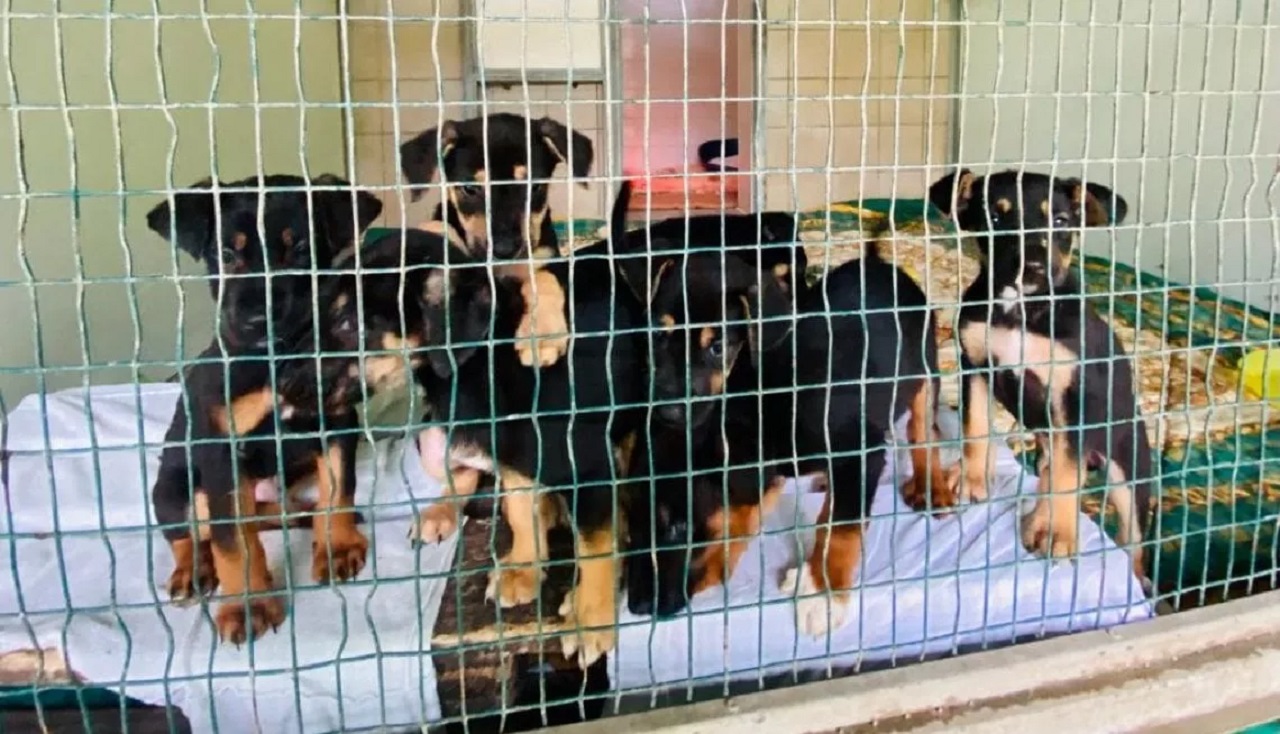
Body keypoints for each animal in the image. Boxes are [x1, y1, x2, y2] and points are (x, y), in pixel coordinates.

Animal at [146, 174, 378, 643]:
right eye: (225, 255)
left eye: (302, 248)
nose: (260, 319)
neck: (279, 361)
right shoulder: (222, 455)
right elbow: (233, 541)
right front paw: (247, 607)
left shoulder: (336, 424)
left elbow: (339, 489)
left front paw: (338, 546)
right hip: (173, 491)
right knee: (193, 534)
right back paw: (192, 570)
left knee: (272, 514)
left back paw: (304, 517)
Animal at [399, 115, 593, 371]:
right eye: (469, 188)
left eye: (534, 187)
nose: (505, 249)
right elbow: (440, 230)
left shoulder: (548, 258)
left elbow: (544, 280)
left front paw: (542, 336)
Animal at [926, 169, 1157, 581]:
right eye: (995, 218)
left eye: (1061, 221)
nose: (1032, 268)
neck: (1021, 312)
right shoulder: (977, 367)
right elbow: (976, 428)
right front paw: (971, 478)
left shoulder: (1073, 398)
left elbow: (1067, 478)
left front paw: (1060, 534)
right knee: (1051, 475)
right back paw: (1035, 519)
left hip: (1127, 474)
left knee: (1130, 541)